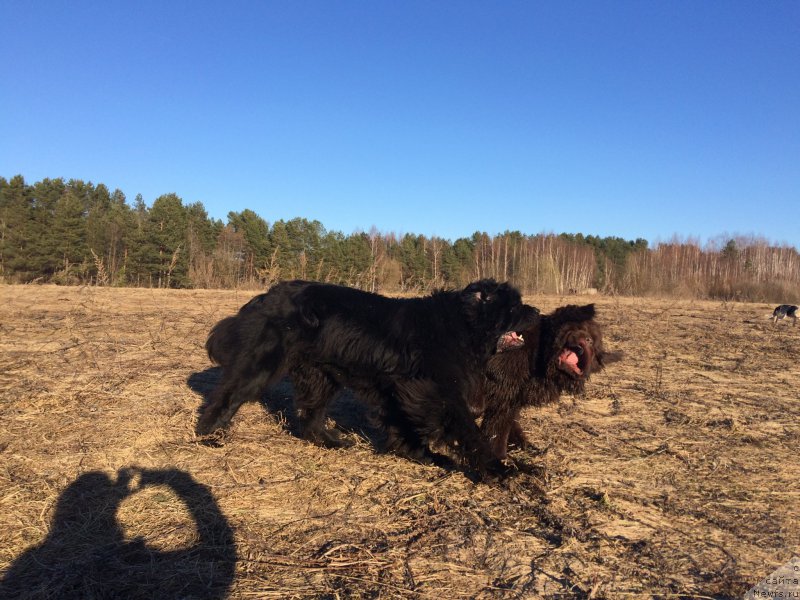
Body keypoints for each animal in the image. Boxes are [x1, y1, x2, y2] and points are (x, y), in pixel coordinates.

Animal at [472, 304, 620, 460]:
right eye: (581, 330)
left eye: (594, 343)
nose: (588, 341)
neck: (540, 353)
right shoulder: (503, 394)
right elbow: (497, 429)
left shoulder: (511, 398)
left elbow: (506, 426)